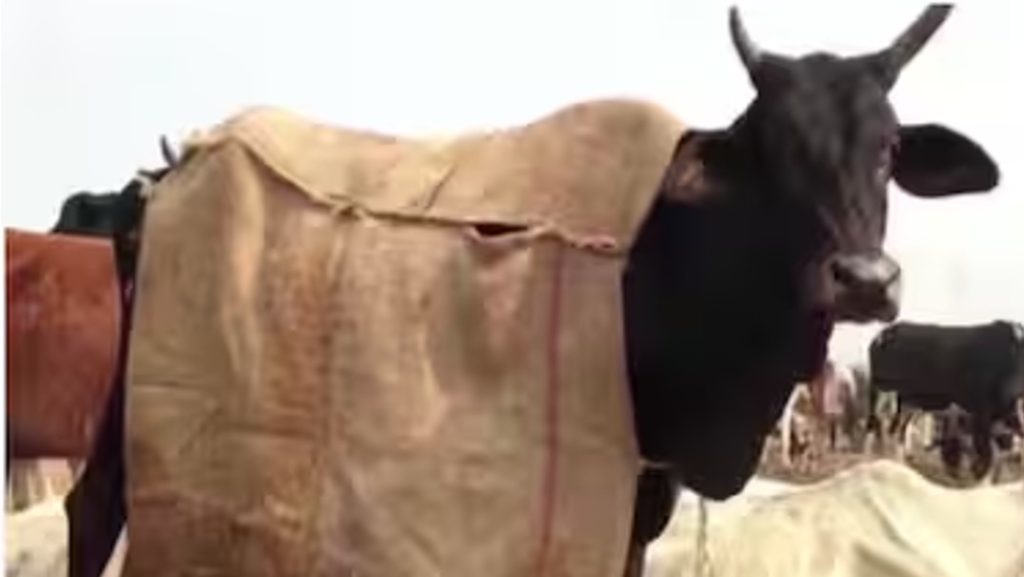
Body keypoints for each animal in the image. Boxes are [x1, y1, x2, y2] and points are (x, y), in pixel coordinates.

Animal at [62, 6, 1002, 577]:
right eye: (773, 146)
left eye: (888, 147)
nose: (866, 280)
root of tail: (172, 166)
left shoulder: (644, 488)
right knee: (92, 506)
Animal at [868, 320, 1024, 481]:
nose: (1014, 389)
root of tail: (886, 332)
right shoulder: (981, 412)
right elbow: (986, 453)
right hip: (886, 391)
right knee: (885, 424)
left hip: (911, 400)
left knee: (899, 427)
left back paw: (905, 458)